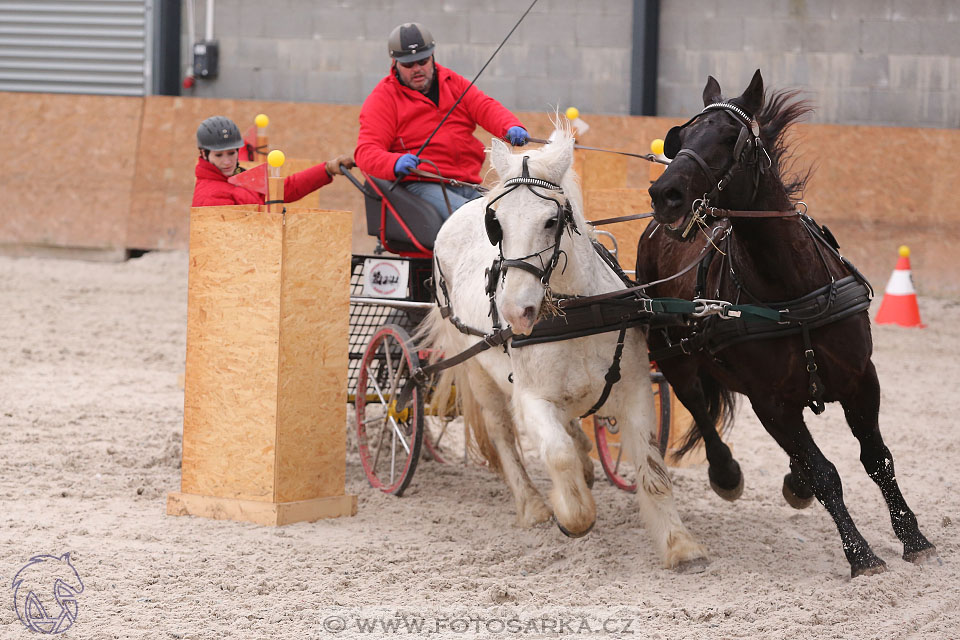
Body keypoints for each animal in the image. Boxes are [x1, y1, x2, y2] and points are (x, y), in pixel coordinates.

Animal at [418, 130, 704, 568]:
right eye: (496, 223)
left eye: (551, 221)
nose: (515, 311)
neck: (579, 314)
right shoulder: (531, 398)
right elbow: (557, 453)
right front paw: (574, 516)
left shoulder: (637, 390)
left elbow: (652, 469)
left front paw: (679, 544)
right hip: (477, 371)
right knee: (503, 434)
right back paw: (533, 505)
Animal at [636, 70, 936, 580]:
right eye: (682, 136)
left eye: (729, 138)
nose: (664, 195)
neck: (791, 290)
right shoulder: (770, 403)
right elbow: (826, 473)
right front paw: (861, 555)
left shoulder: (861, 379)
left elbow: (877, 459)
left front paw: (914, 538)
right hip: (672, 354)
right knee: (695, 402)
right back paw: (726, 473)